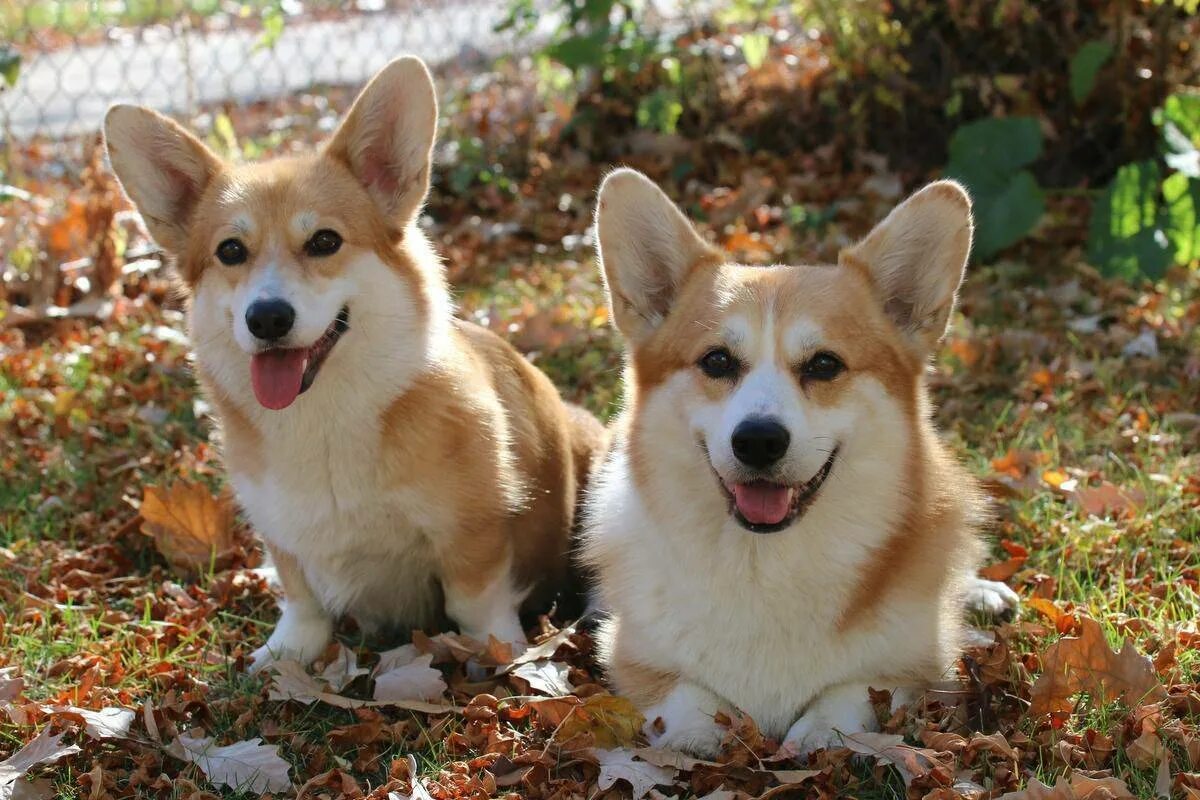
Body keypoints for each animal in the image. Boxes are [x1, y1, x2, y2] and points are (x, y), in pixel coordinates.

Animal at [102, 57, 604, 671]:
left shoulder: (473, 530)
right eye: (230, 251)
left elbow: (474, 601)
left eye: (324, 241)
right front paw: (287, 654)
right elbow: (303, 602)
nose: (267, 317)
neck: (323, 417)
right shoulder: (282, 532)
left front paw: (499, 652)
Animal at [585, 169, 1017, 758]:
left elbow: (852, 693)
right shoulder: (631, 654)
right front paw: (706, 735)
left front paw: (819, 735)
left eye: (824, 365)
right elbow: (687, 697)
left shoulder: (915, 668)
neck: (766, 563)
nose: (759, 441)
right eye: (717, 361)